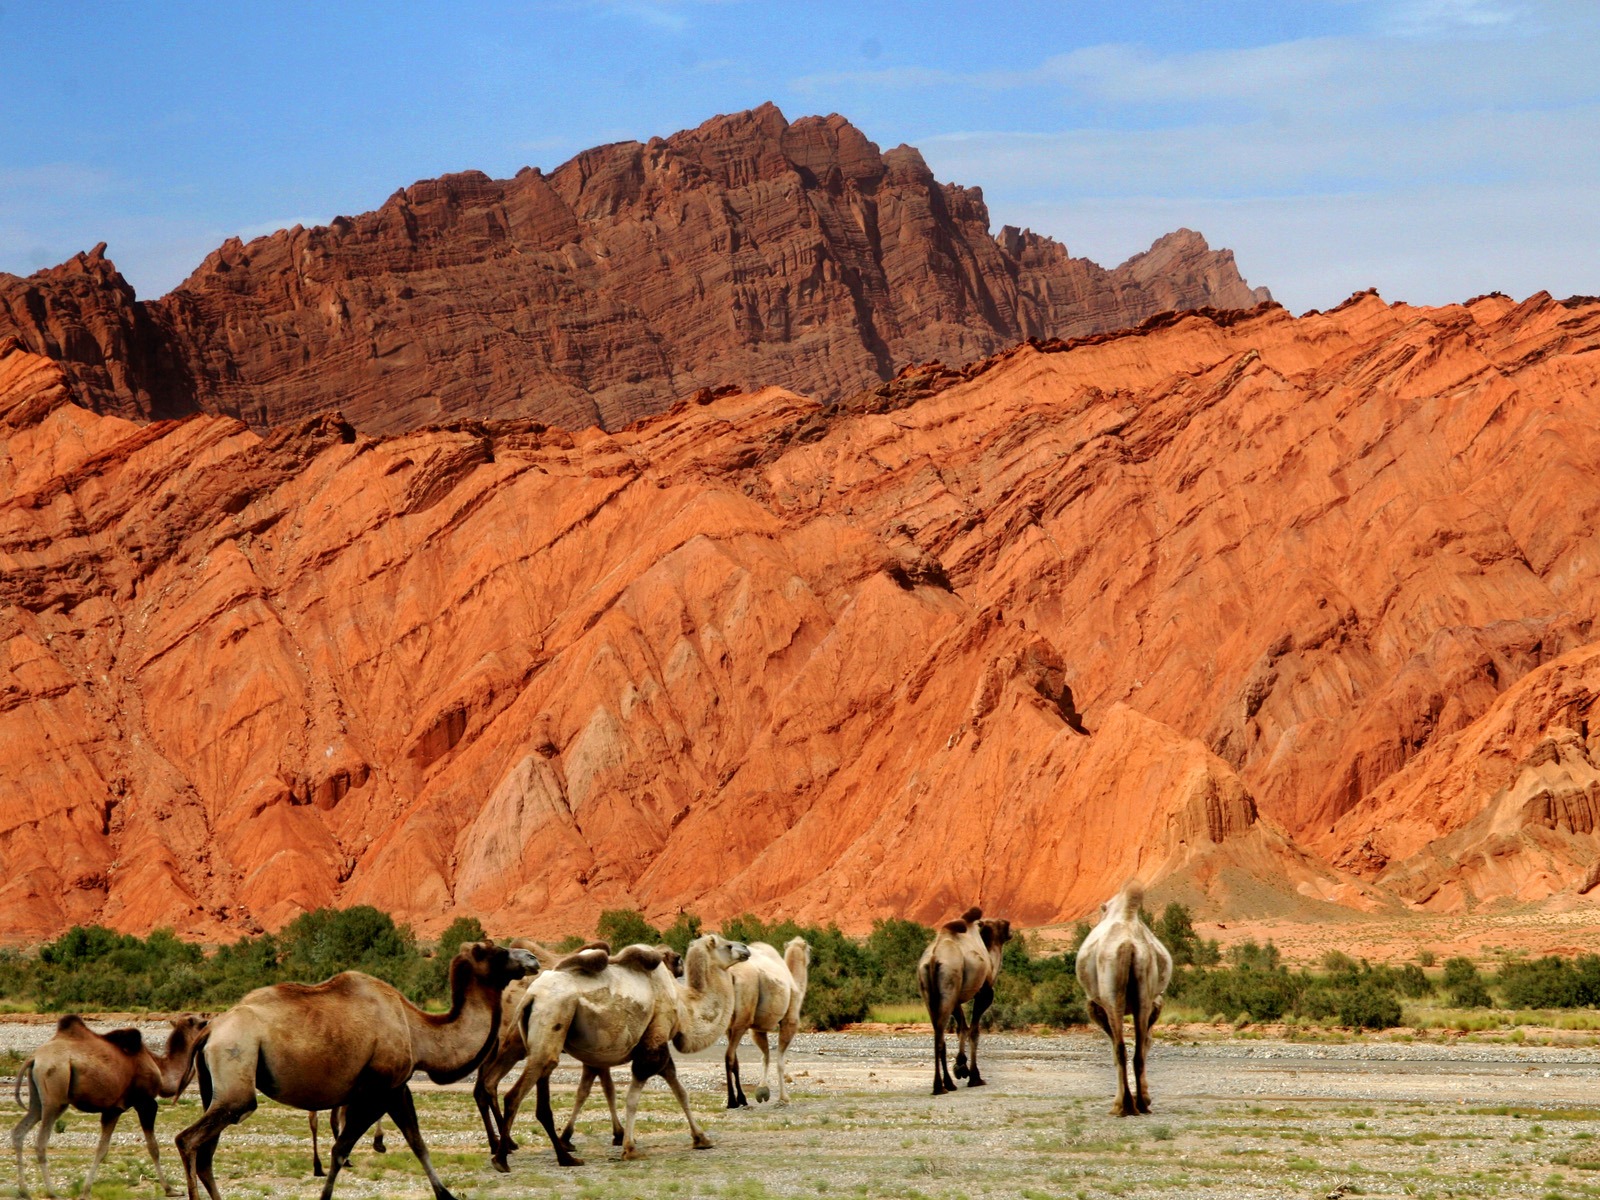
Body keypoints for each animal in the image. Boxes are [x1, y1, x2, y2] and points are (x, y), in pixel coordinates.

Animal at [11, 1017, 208, 1200]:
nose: (207, 1025)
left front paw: (85, 1191)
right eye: (198, 1022)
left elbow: (102, 1149)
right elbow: (153, 1147)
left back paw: (24, 1191)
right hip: (55, 1095)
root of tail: (34, 1058)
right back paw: (52, 1193)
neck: (160, 1068)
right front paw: (170, 1189)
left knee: (19, 1131)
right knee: (41, 1141)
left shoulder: (113, 1109)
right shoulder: (145, 1102)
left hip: (37, 1098)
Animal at [175, 940, 537, 1200]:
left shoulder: (397, 1088)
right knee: (188, 1140)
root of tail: (211, 1029)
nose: (532, 958)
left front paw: (445, 1194)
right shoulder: (376, 1090)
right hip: (236, 1067)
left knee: (206, 1154)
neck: (417, 1030)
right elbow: (341, 1149)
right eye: (494, 950)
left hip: (215, 1087)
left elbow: (417, 1142)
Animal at [499, 934, 748, 1171]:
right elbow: (632, 1097)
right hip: (552, 1017)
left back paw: (550, 1155)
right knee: (514, 1094)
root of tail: (531, 995)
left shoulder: (656, 1042)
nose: (746, 948)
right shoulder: (655, 1038)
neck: (683, 1005)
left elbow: (680, 1091)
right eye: (727, 946)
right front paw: (629, 1148)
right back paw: (506, 1158)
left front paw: (701, 1139)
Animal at [723, 940, 806, 1107]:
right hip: (742, 1019)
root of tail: (732, 975)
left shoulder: (758, 1029)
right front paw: (783, 1097)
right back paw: (733, 1101)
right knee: (729, 1056)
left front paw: (762, 1092)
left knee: (733, 1057)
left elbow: (765, 1056)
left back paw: (740, 1099)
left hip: (729, 1023)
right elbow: (780, 1061)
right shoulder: (789, 1021)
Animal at [1075, 883, 1177, 1120]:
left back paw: (1122, 1106)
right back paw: (1140, 1105)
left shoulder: (1096, 1007)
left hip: (1113, 995)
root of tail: (1128, 945)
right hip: (1143, 990)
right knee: (1138, 1050)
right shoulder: (1155, 1003)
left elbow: (1115, 1048)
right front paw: (1145, 1098)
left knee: (1122, 1048)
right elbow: (1145, 1042)